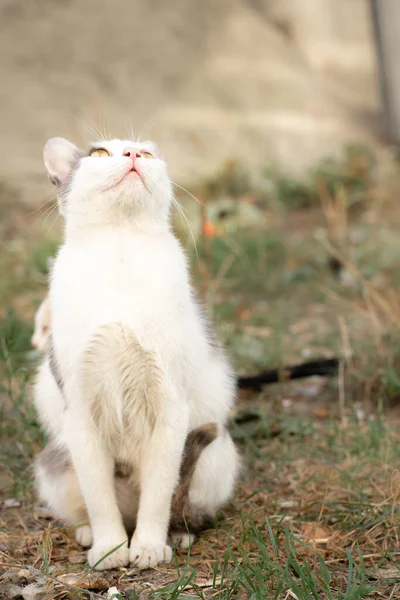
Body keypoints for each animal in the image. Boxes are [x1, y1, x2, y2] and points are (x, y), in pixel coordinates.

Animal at [32, 137, 239, 572]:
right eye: (98, 154)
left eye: (144, 154)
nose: (130, 156)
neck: (120, 252)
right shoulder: (80, 413)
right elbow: (99, 500)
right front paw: (110, 549)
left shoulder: (170, 408)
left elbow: (158, 495)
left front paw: (148, 547)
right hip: (55, 462)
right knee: (94, 506)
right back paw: (89, 534)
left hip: (217, 453)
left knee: (183, 505)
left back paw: (177, 535)